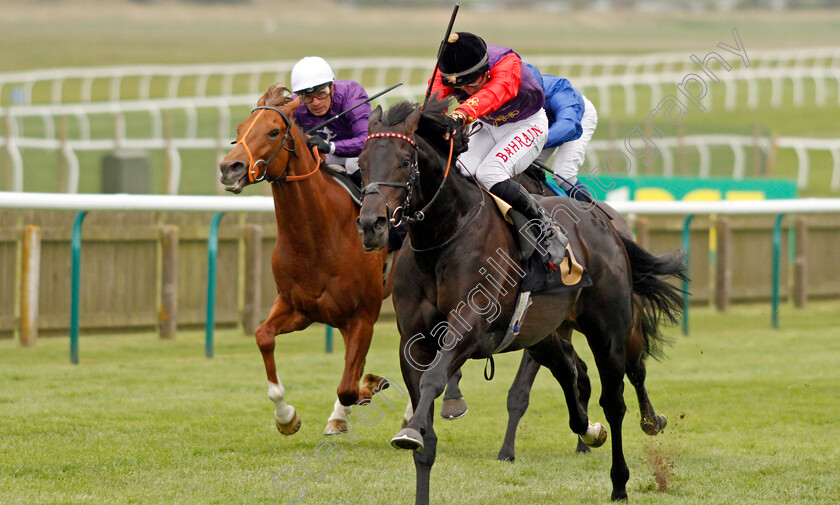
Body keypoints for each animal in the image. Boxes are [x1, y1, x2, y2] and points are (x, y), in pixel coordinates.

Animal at [218, 85, 392, 434]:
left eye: (273, 131)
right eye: (240, 130)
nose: (230, 168)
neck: (319, 237)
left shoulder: (363, 316)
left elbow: (349, 386)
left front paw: (369, 387)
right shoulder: (298, 307)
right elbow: (263, 336)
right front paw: (286, 417)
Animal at [358, 97, 684, 500]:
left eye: (405, 161)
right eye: (361, 162)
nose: (371, 224)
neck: (443, 237)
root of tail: (604, 222)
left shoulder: (468, 329)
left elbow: (436, 378)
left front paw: (412, 429)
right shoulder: (414, 341)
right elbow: (426, 434)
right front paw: (415, 437)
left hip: (609, 328)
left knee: (617, 394)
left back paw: (623, 475)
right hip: (542, 333)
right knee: (570, 371)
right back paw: (590, 430)